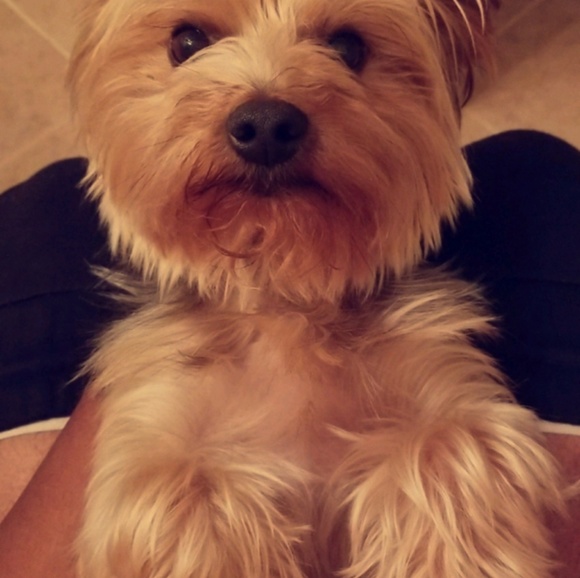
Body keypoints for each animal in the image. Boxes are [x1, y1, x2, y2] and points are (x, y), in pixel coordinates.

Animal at [68, 1, 565, 576]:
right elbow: (186, 496)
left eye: (348, 47)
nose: (266, 124)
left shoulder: (450, 399)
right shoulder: (154, 443)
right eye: (187, 42)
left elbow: (445, 447)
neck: (284, 292)